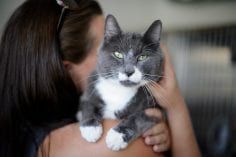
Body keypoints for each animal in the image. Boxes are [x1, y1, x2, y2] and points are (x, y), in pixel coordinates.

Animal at [77, 14, 164, 151]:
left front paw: (116, 137)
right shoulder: (90, 88)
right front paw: (90, 129)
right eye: (118, 54)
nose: (128, 71)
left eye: (142, 57)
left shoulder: (156, 109)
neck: (119, 90)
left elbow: (138, 118)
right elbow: (88, 104)